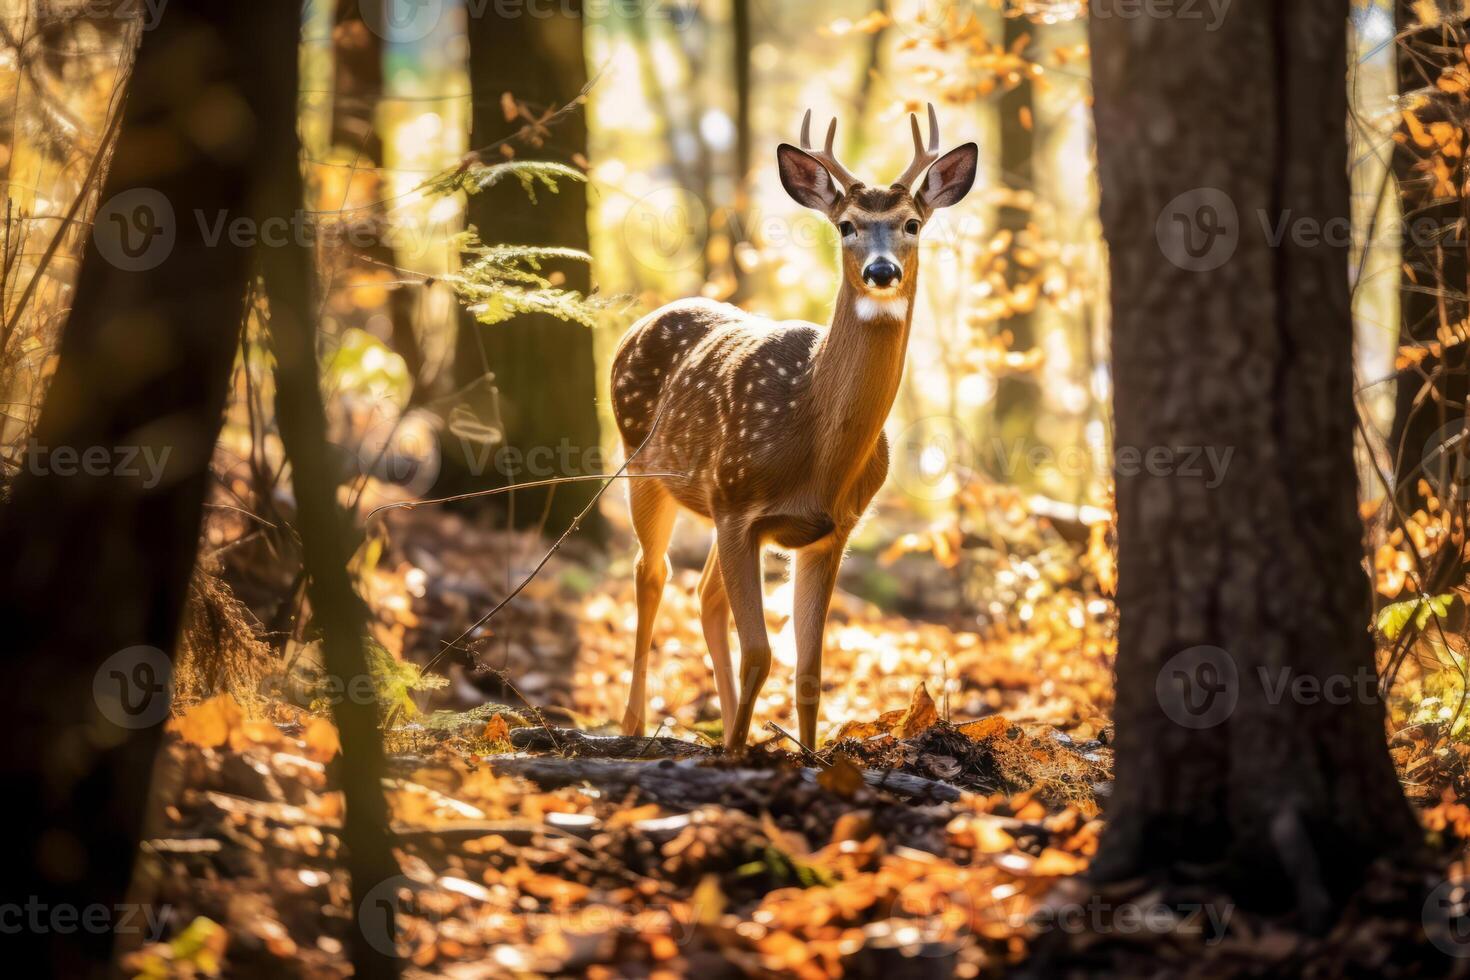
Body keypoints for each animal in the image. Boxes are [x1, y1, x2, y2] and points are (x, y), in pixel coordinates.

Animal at [608, 103, 976, 752]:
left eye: (912, 223)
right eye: (846, 225)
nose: (882, 271)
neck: (814, 448)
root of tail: (636, 327)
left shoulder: (832, 529)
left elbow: (810, 667)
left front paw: (800, 754)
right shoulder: (737, 505)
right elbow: (760, 652)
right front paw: (734, 757)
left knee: (704, 594)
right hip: (645, 468)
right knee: (651, 574)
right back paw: (635, 725)